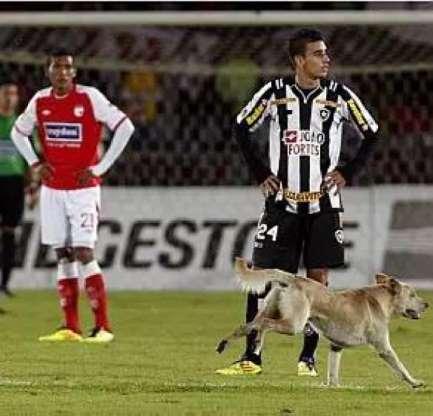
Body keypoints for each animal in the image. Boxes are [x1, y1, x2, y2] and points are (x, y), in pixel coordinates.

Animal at [218, 258, 426, 388]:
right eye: (412, 294)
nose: (427, 304)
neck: (380, 300)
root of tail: (294, 278)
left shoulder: (336, 346)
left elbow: (333, 372)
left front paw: (333, 386)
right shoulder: (383, 347)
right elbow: (401, 368)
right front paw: (415, 382)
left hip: (271, 311)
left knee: (248, 326)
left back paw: (225, 344)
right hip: (293, 324)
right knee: (265, 324)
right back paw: (257, 343)